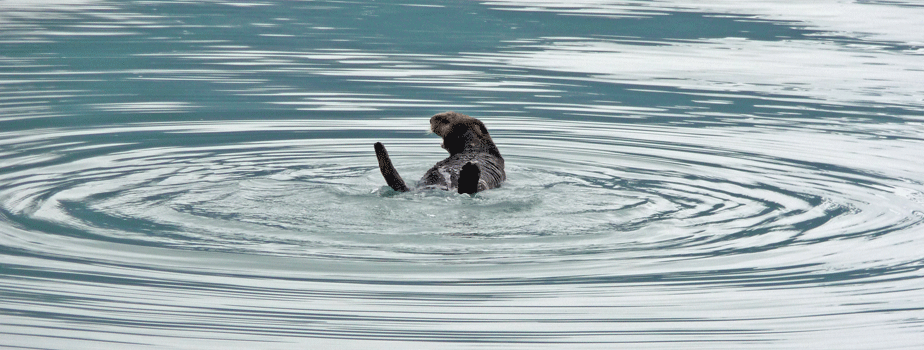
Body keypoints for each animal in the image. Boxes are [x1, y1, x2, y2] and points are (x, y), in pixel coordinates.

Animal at [374, 112, 506, 194]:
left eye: (445, 120)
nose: (431, 119)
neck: (473, 149)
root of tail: (449, 188)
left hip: (481, 185)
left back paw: (470, 169)